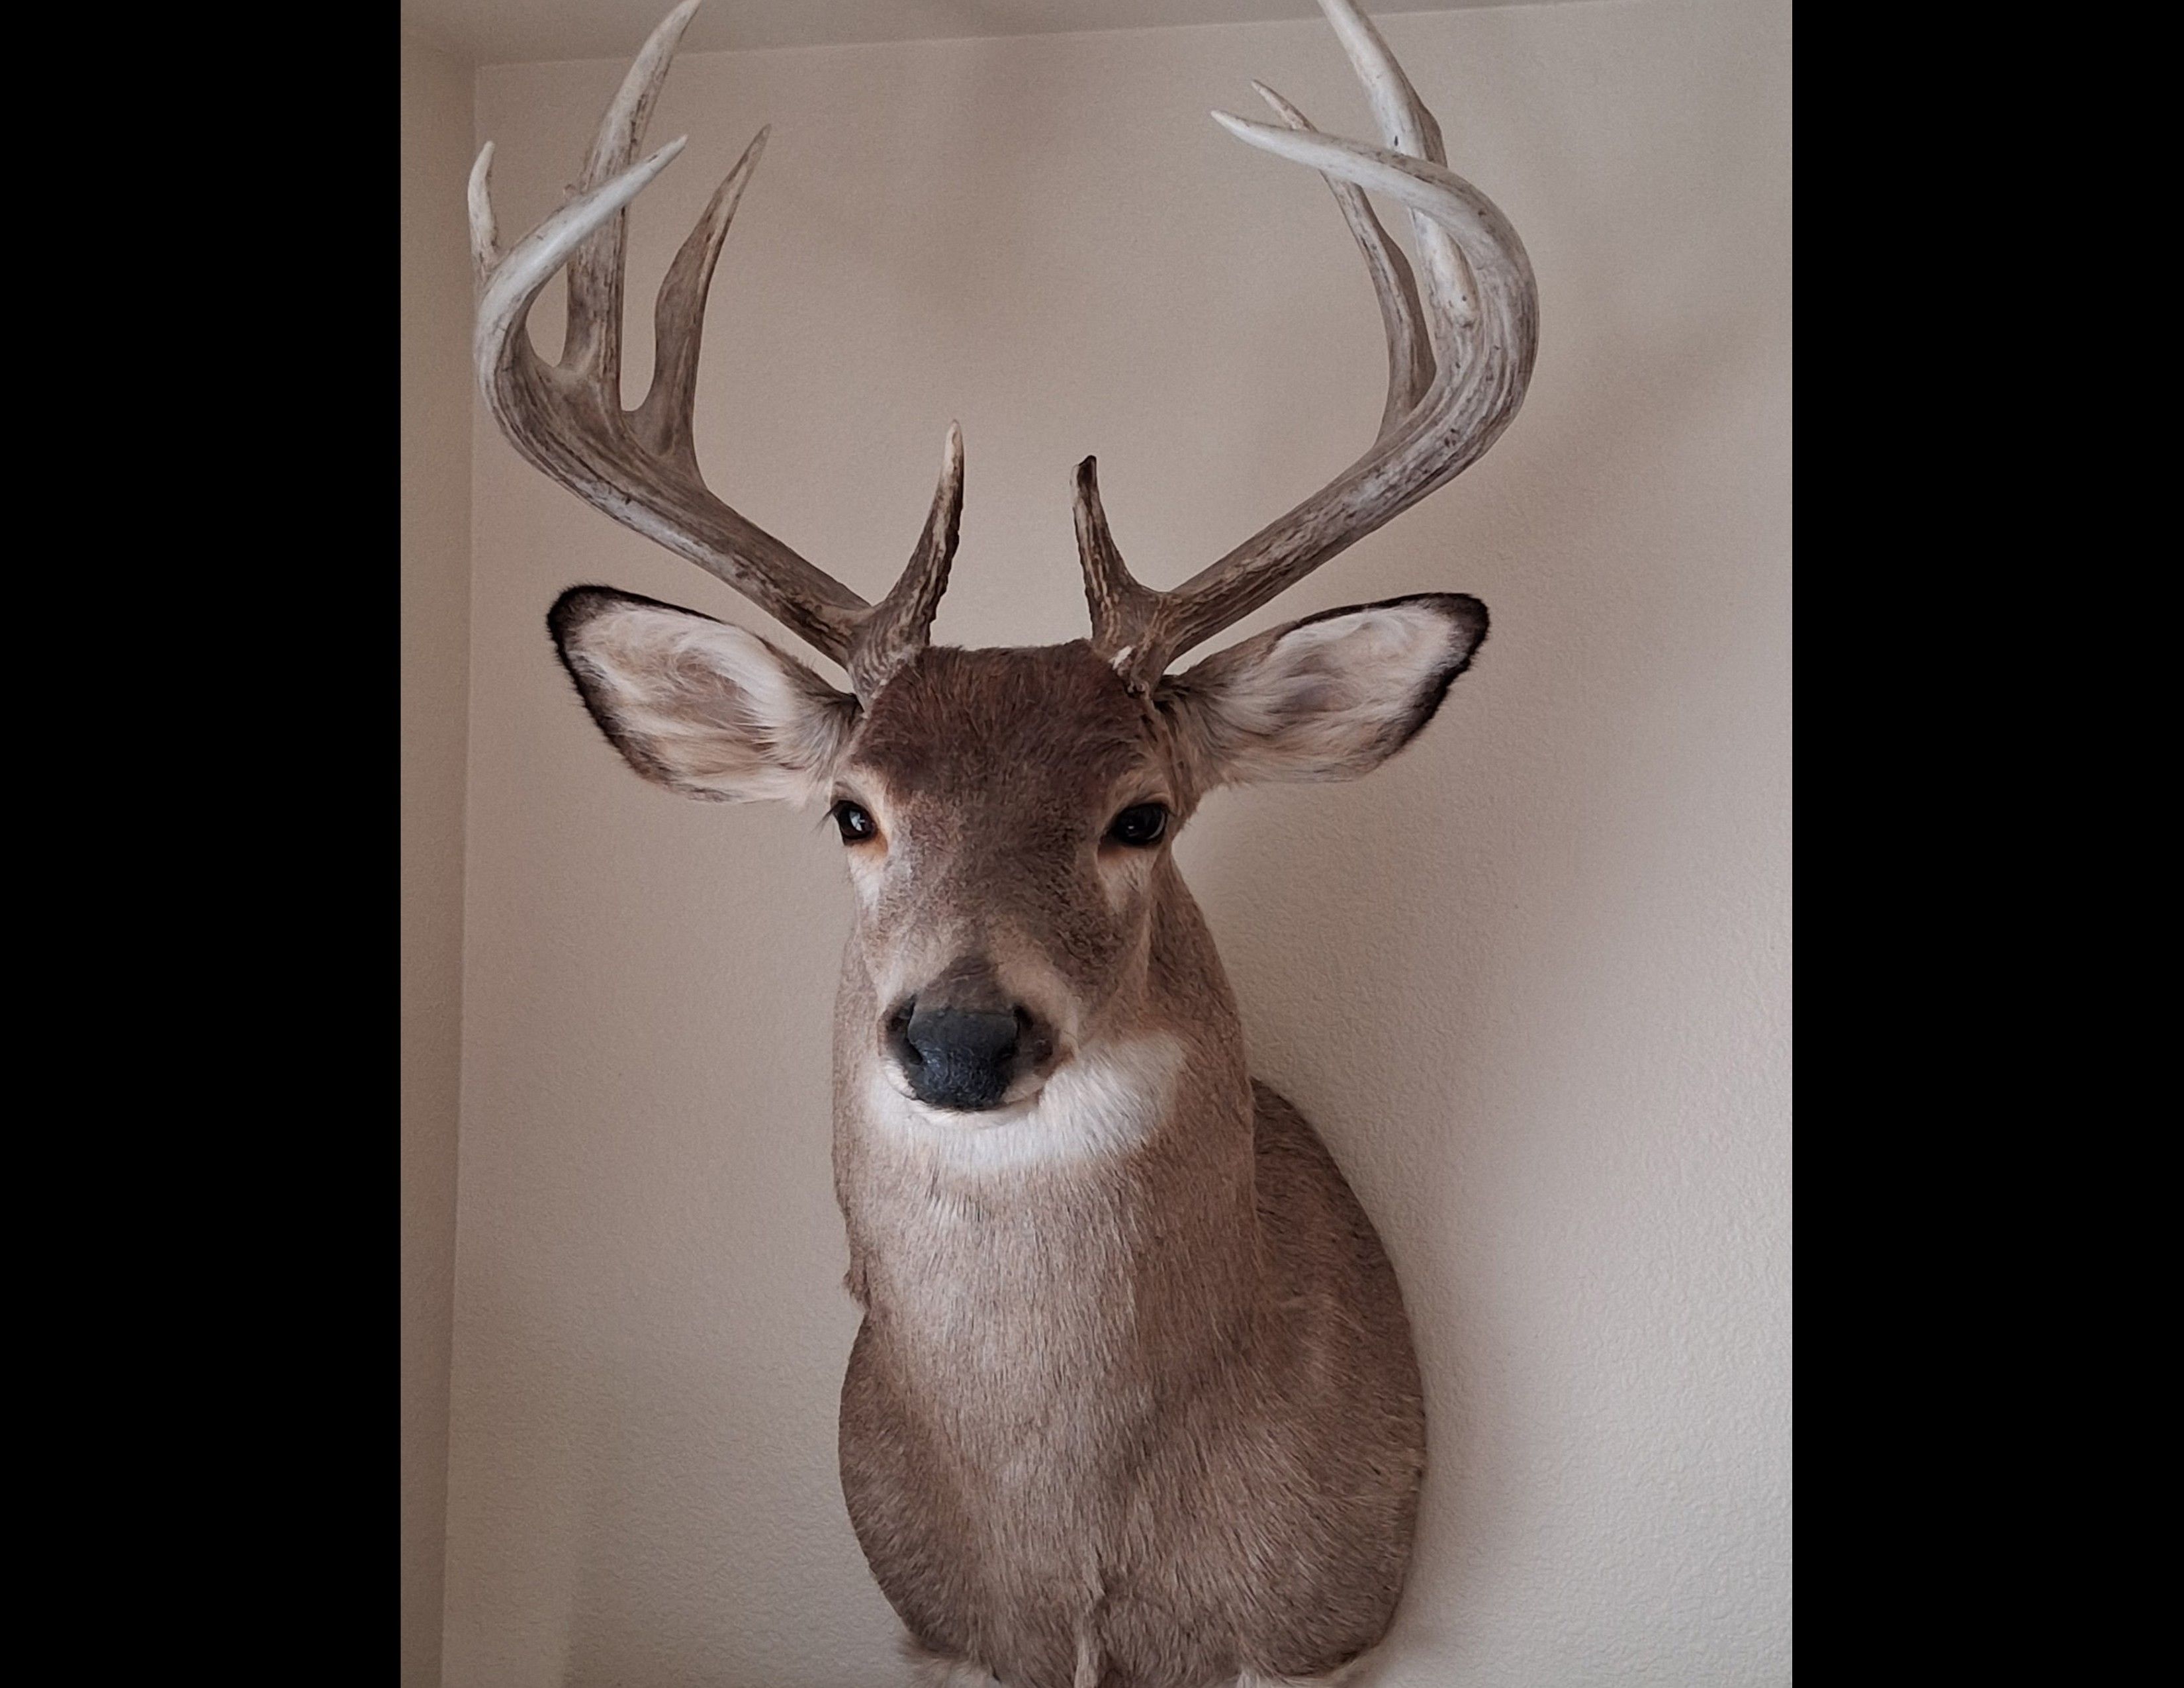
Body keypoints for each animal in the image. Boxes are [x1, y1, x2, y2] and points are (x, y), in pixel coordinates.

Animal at [468, 2, 1535, 1683]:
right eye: (852, 810)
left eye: (1140, 812)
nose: (961, 1034)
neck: (1082, 1561)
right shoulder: (932, 1627)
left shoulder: (1321, 1629)